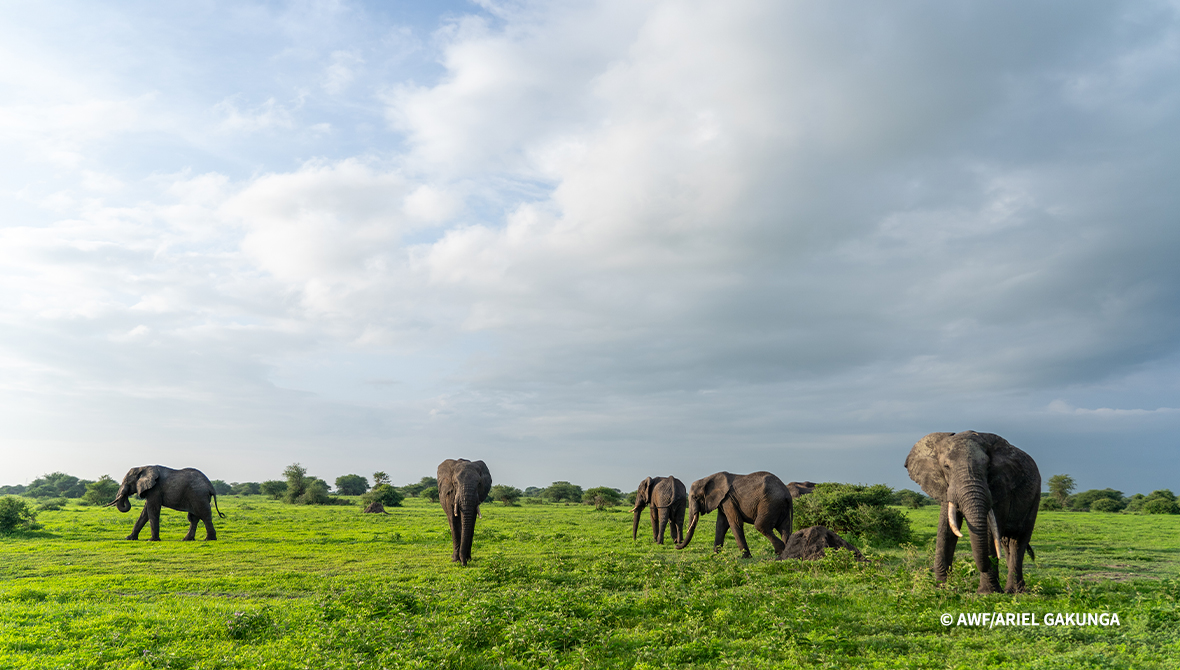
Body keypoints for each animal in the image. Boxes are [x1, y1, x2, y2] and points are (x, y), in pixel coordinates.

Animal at [901, 431, 1043, 594]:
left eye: (988, 467)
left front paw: (986, 593)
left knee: (1018, 541)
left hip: (1035, 497)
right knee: (1006, 543)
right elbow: (946, 528)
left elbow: (989, 531)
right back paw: (1010, 590)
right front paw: (943, 588)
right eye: (946, 467)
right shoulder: (946, 487)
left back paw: (1016, 591)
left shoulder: (1000, 486)